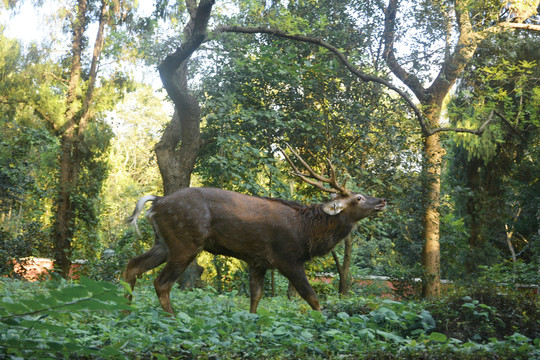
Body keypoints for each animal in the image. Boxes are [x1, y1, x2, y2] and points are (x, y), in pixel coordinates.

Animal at [124, 145, 386, 314]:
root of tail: (157, 202)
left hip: (163, 242)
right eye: (359, 197)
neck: (308, 232)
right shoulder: (288, 258)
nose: (382, 201)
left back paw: (124, 310)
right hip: (185, 242)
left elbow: (255, 297)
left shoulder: (258, 260)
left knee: (133, 265)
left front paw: (252, 323)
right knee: (161, 282)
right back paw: (173, 318)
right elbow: (312, 298)